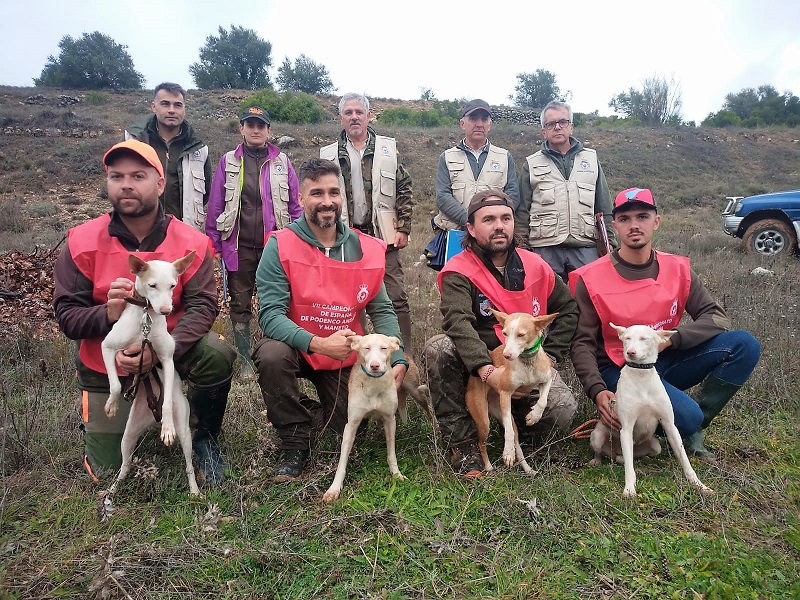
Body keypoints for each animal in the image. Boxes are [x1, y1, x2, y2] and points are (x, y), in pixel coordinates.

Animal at [101, 251, 200, 494]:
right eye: (152, 285)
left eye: (173, 285)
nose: (166, 310)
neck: (146, 318)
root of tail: (150, 417)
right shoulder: (108, 347)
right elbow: (115, 384)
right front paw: (112, 405)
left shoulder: (166, 358)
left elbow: (167, 403)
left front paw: (167, 428)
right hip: (127, 436)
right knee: (125, 465)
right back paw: (113, 489)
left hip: (184, 432)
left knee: (189, 464)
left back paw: (195, 491)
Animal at [322, 332, 406, 502]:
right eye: (366, 348)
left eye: (384, 348)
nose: (374, 365)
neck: (373, 385)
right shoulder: (351, 425)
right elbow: (342, 461)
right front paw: (334, 488)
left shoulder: (390, 420)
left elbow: (391, 453)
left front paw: (396, 474)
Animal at [462, 310, 556, 474]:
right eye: (504, 333)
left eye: (521, 335)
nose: (506, 355)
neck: (528, 364)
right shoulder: (505, 394)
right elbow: (508, 433)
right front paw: (507, 453)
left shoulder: (547, 378)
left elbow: (543, 401)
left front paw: (534, 416)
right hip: (484, 421)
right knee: (482, 443)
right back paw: (488, 465)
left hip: (509, 420)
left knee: (518, 446)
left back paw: (528, 469)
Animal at [588, 324, 712, 496]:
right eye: (627, 338)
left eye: (644, 338)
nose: (630, 352)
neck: (641, 376)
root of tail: (616, 451)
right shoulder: (626, 429)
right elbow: (629, 469)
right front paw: (629, 489)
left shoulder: (670, 425)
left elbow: (685, 460)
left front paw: (699, 485)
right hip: (598, 436)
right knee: (609, 455)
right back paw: (596, 460)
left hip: (655, 445)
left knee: (630, 457)